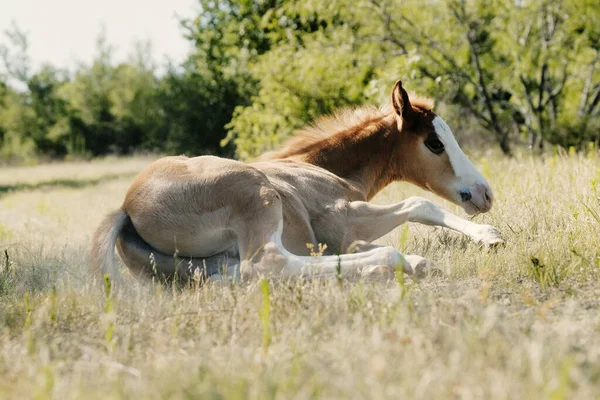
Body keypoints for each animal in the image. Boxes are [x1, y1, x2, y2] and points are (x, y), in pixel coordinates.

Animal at [91, 79, 504, 282]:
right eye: (434, 143)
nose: (484, 194)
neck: (317, 165)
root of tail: (125, 208)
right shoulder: (341, 220)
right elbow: (421, 204)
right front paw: (490, 236)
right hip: (257, 195)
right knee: (268, 265)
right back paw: (393, 262)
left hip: (204, 267)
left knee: (239, 277)